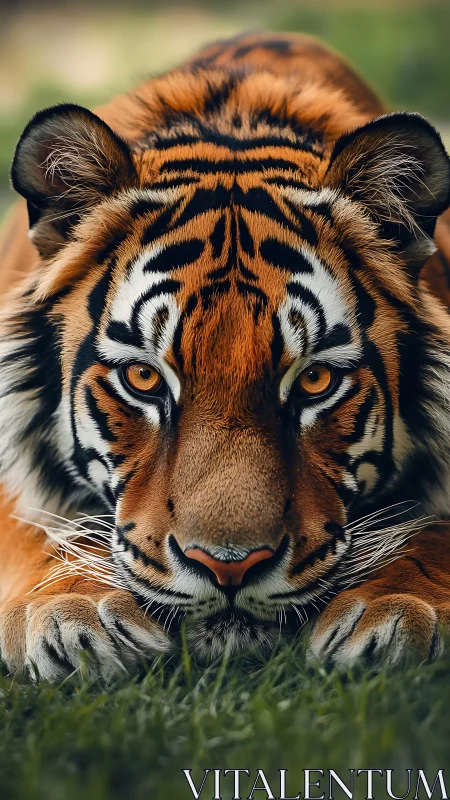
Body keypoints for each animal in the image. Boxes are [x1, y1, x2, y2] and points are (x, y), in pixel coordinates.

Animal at [0, 31, 450, 681]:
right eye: (143, 378)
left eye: (315, 380)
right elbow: (28, 528)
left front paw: (396, 606)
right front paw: (71, 614)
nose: (229, 566)